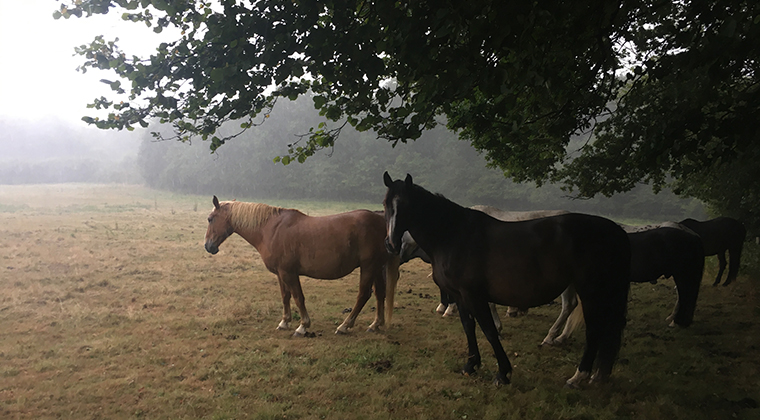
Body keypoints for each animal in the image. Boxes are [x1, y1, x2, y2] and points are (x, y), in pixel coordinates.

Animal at [204, 196, 400, 336]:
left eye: (210, 219)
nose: (208, 246)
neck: (270, 229)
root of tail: (381, 221)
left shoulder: (289, 273)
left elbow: (298, 297)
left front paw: (303, 326)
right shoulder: (280, 274)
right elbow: (285, 296)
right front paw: (284, 322)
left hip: (368, 267)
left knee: (363, 295)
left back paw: (344, 326)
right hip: (376, 267)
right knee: (380, 293)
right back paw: (375, 324)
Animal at [383, 172, 631, 387]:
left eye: (406, 205)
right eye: (385, 205)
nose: (391, 244)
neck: (454, 235)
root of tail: (615, 230)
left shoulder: (474, 295)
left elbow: (489, 330)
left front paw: (503, 373)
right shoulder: (461, 296)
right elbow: (468, 327)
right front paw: (471, 365)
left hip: (591, 291)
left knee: (593, 330)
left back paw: (578, 374)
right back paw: (593, 371)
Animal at [541, 222, 705, 345]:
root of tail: (694, 237)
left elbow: (570, 306)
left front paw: (552, 337)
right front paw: (561, 337)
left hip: (683, 275)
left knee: (686, 296)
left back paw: (676, 322)